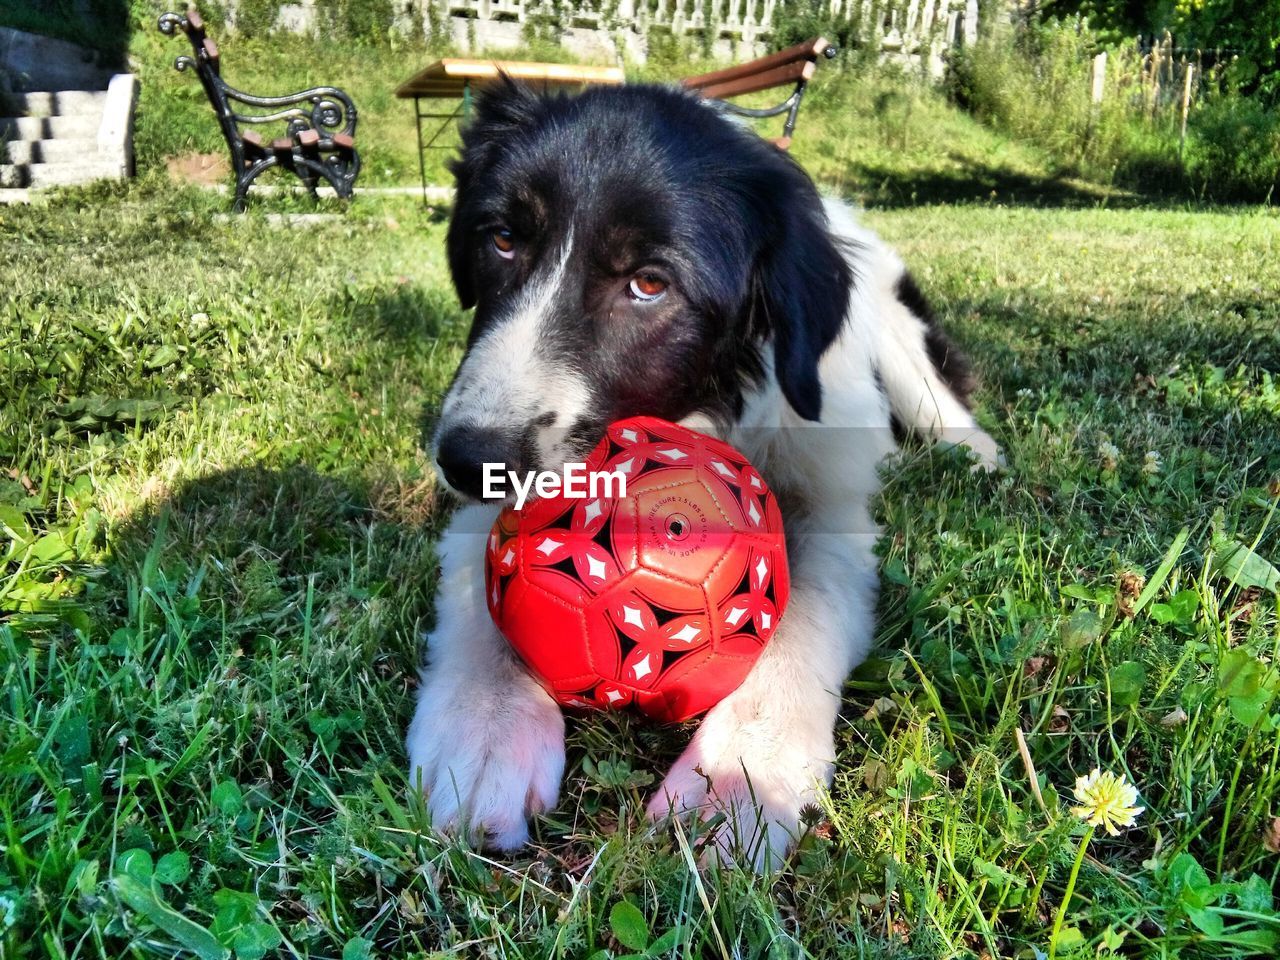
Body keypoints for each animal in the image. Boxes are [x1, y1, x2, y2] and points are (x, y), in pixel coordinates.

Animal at [409, 79, 998, 870]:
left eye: (649, 283)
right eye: (501, 239)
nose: (467, 459)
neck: (707, 406)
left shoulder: (832, 504)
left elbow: (801, 618)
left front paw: (740, 779)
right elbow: (484, 591)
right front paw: (485, 731)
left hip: (895, 329)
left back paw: (977, 454)